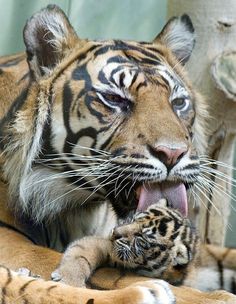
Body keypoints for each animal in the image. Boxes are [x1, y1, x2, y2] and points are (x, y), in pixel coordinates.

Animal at [0, 4, 235, 304]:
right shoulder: (10, 241)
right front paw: (213, 296)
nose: (173, 154)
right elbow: (115, 272)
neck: (76, 204)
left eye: (178, 102)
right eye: (114, 99)